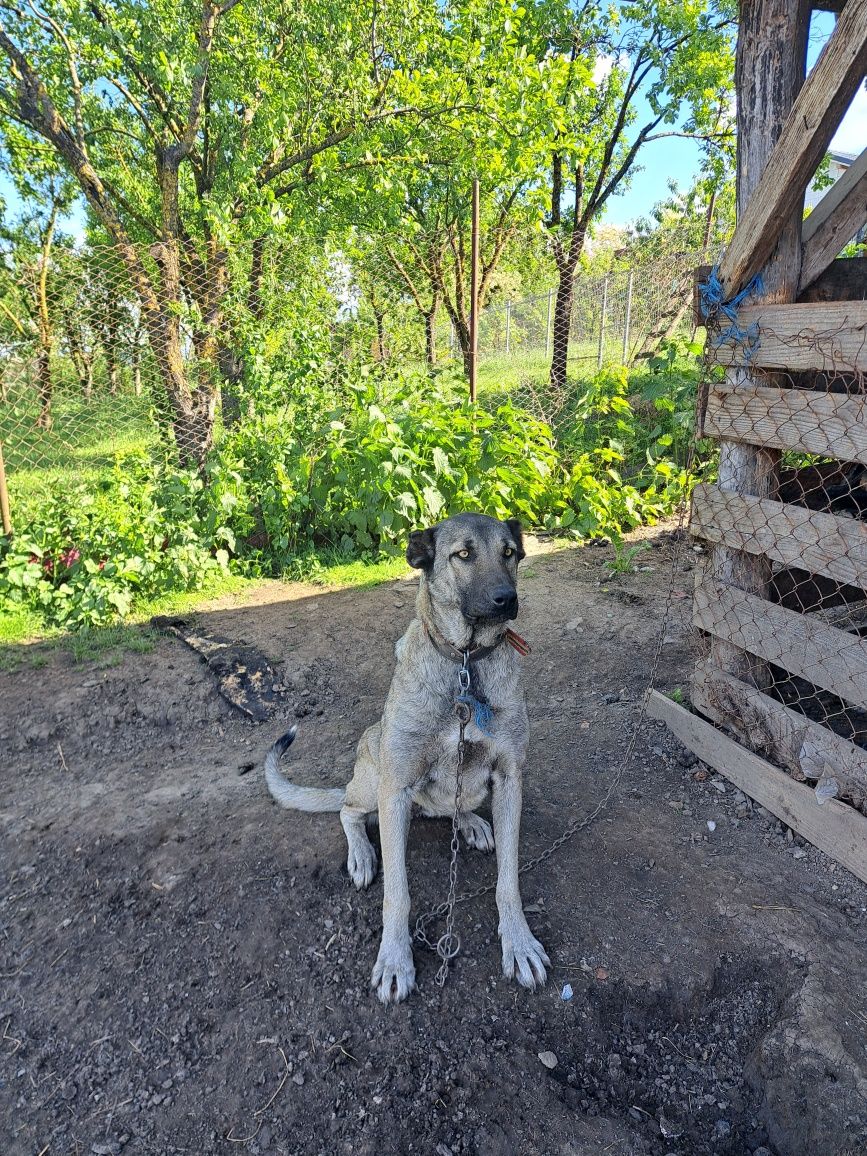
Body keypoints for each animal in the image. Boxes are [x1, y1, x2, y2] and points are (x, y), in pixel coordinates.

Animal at [264, 515, 550, 1003]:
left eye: (510, 552)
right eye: (463, 554)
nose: (507, 599)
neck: (465, 664)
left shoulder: (510, 778)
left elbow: (508, 881)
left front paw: (518, 941)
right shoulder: (395, 788)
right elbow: (397, 893)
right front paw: (395, 958)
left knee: (448, 809)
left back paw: (469, 823)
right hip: (373, 773)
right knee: (347, 809)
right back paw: (361, 853)